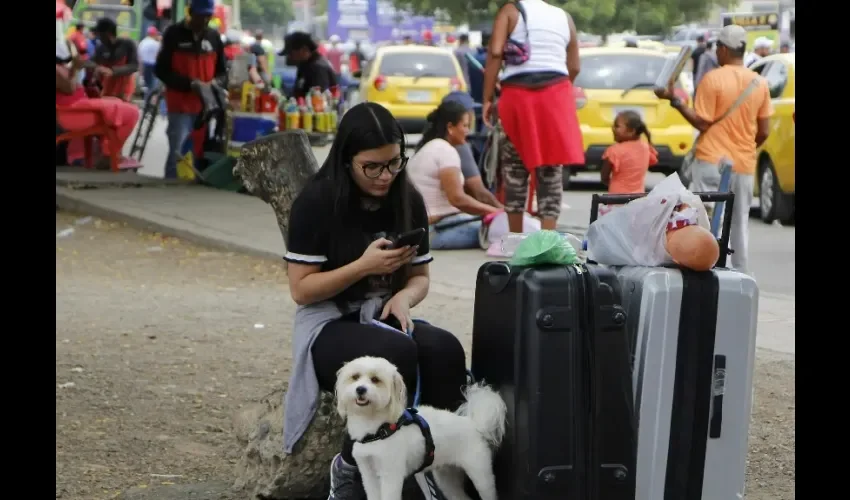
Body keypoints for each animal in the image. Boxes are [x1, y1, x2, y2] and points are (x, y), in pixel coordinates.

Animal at [332, 356, 504, 500]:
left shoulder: (391, 475)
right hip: (446, 478)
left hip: (481, 475)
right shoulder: (368, 474)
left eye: (375, 380)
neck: (376, 430)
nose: (360, 389)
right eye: (355, 377)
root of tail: (473, 424)